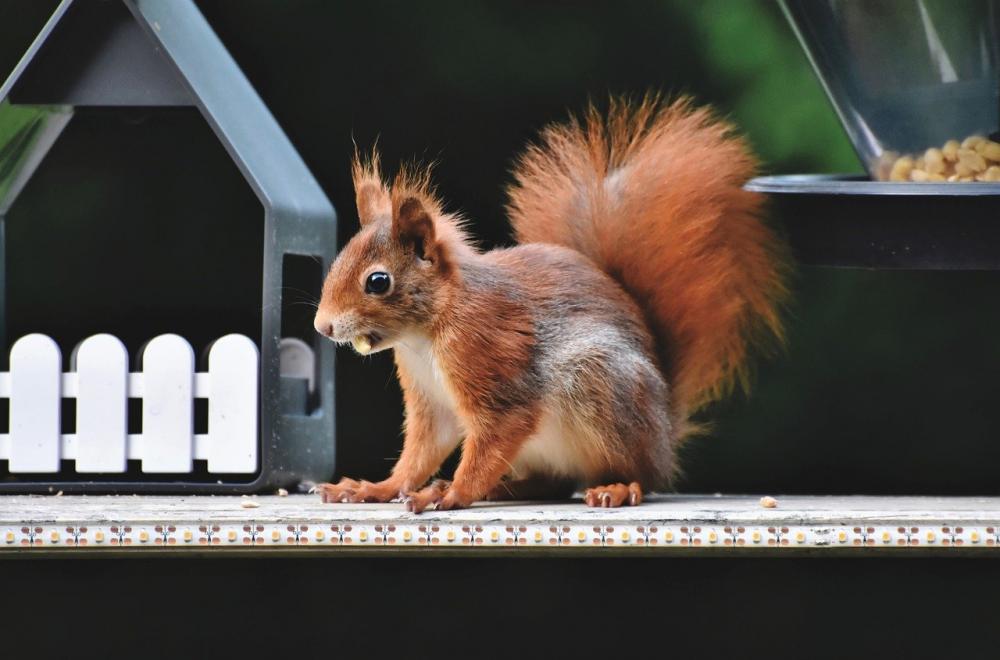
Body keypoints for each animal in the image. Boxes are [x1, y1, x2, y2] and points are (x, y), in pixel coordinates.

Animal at [313, 94, 788, 512]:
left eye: (378, 281)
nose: (323, 326)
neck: (425, 335)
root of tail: (665, 434)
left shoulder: (491, 358)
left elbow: (495, 434)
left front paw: (451, 493)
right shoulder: (431, 401)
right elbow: (420, 454)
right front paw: (377, 488)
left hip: (602, 385)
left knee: (638, 475)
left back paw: (616, 487)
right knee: (551, 483)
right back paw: (501, 488)